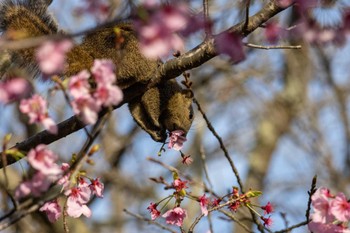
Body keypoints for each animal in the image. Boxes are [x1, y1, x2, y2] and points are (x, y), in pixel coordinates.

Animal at [0, 0, 194, 142]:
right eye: (191, 114)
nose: (183, 135)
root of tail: (91, 58)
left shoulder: (135, 100)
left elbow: (137, 112)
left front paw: (155, 133)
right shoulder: (157, 87)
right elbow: (150, 101)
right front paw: (156, 124)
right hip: (128, 52)